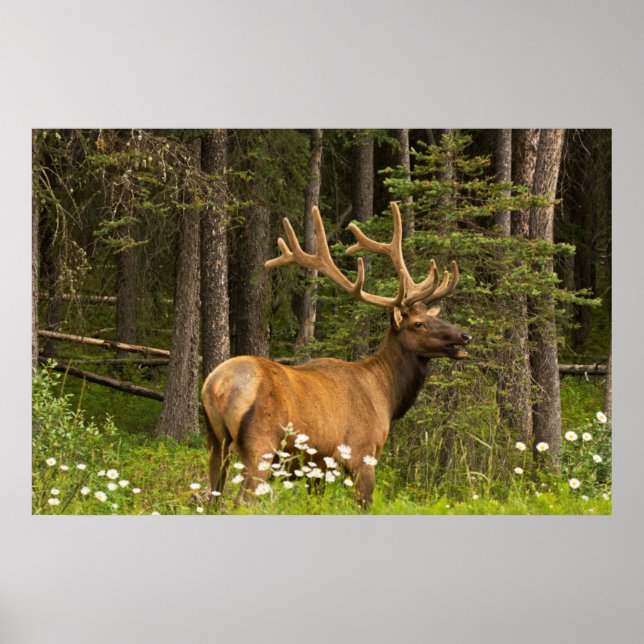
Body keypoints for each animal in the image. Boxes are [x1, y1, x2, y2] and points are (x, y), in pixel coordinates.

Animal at [201, 202, 472, 507]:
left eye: (432, 316)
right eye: (418, 324)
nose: (464, 336)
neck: (386, 395)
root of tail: (217, 386)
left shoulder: (318, 468)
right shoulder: (362, 453)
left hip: (215, 443)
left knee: (213, 499)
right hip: (261, 445)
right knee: (242, 502)